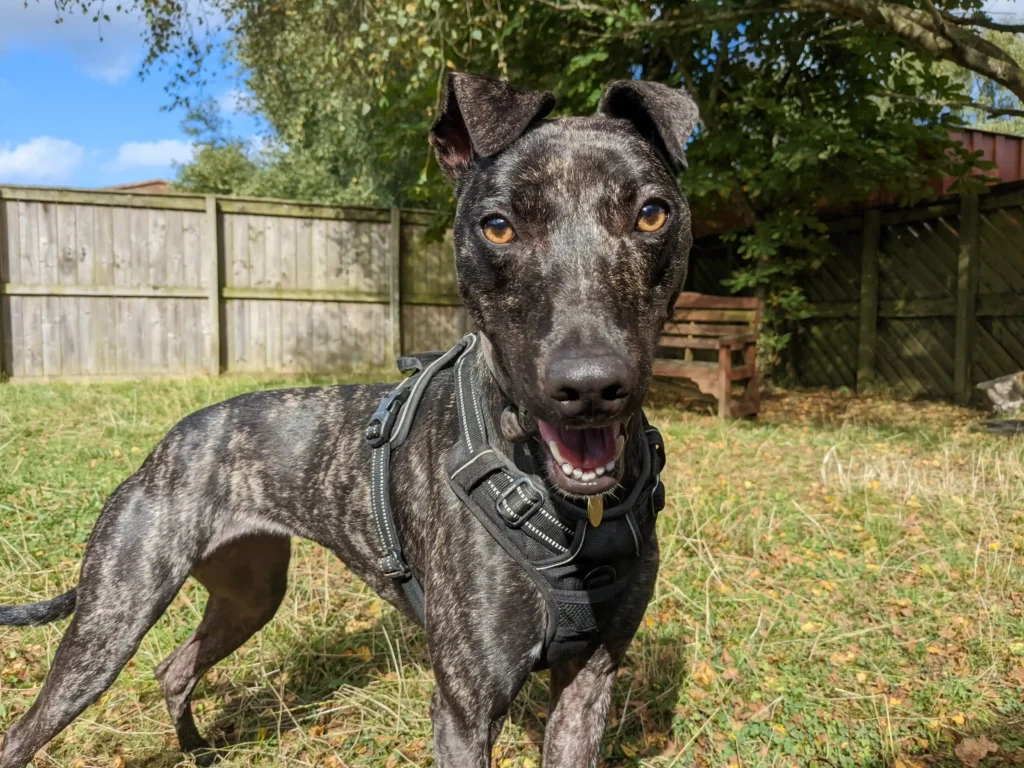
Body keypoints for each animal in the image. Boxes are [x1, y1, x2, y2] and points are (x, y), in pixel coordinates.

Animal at [0, 73, 696, 768]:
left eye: (652, 213)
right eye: (498, 226)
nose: (589, 387)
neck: (570, 508)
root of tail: (163, 448)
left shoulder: (589, 683)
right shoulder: (465, 709)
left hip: (249, 596)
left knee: (174, 668)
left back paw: (198, 750)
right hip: (111, 623)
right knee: (24, 731)